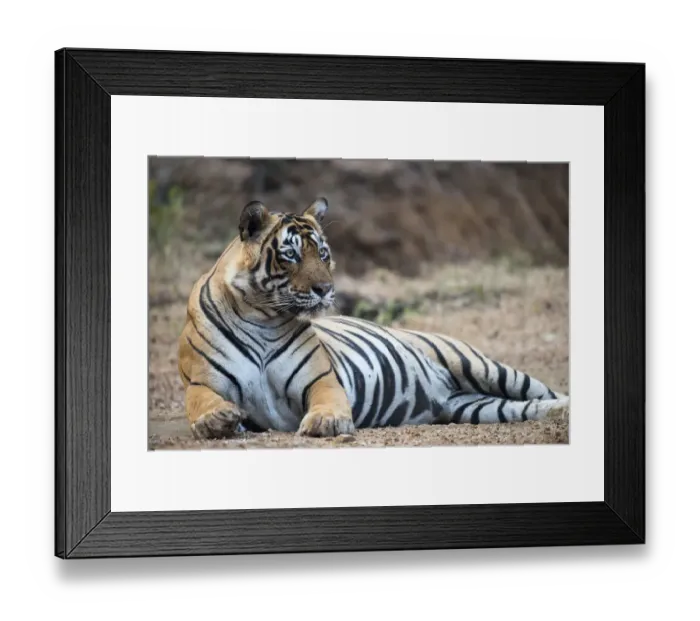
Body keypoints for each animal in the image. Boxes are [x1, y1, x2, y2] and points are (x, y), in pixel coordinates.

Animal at [178, 197, 569, 439]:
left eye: (323, 253)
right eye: (290, 255)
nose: (325, 289)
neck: (261, 314)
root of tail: (443, 394)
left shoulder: (320, 377)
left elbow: (327, 399)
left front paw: (327, 421)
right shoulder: (203, 381)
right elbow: (200, 402)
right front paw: (216, 420)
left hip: (479, 365)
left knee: (543, 390)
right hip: (477, 406)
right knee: (530, 406)